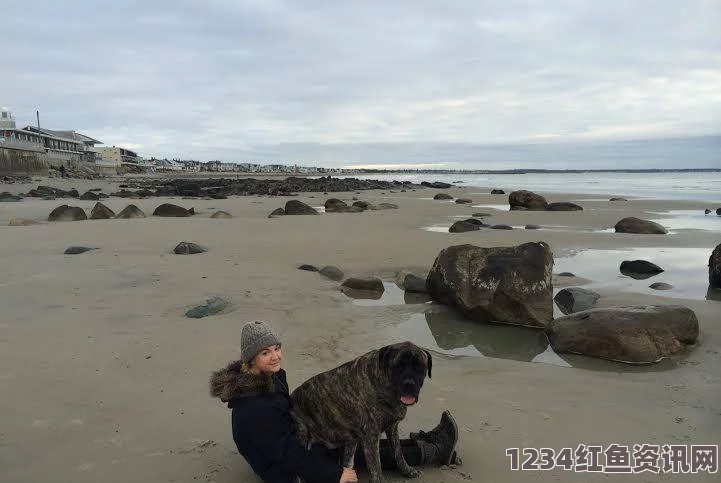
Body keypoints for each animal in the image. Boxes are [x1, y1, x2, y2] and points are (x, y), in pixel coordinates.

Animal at [290, 342, 430, 482]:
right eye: (398, 366)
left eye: (419, 366)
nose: (409, 384)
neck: (385, 384)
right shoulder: (371, 437)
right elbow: (376, 468)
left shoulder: (392, 427)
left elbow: (398, 452)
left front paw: (407, 470)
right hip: (302, 434)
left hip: (350, 442)